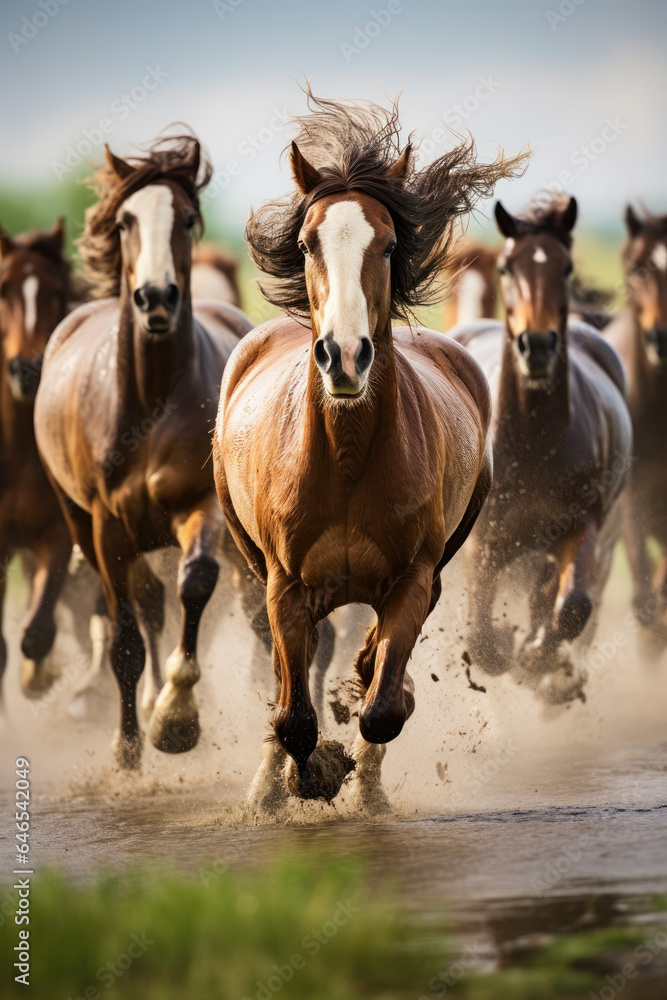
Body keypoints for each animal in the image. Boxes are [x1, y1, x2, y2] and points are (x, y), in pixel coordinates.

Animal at [34, 135, 254, 769]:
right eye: (126, 221)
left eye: (186, 218)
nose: (156, 296)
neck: (151, 399)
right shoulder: (108, 527)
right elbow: (126, 636)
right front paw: (129, 746)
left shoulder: (200, 506)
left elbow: (196, 583)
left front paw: (177, 718)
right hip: (79, 521)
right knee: (142, 610)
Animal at [213, 91, 527, 812]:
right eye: (307, 242)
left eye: (386, 244)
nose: (345, 356)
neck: (347, 460)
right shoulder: (283, 584)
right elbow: (293, 714)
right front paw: (304, 775)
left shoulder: (412, 578)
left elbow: (382, 705)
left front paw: (358, 776)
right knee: (290, 680)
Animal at [450, 195, 632, 704]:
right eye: (507, 268)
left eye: (565, 266)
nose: (537, 344)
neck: (535, 440)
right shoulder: (484, 539)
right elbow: (480, 634)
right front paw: (508, 647)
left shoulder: (580, 524)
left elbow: (573, 606)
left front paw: (535, 657)